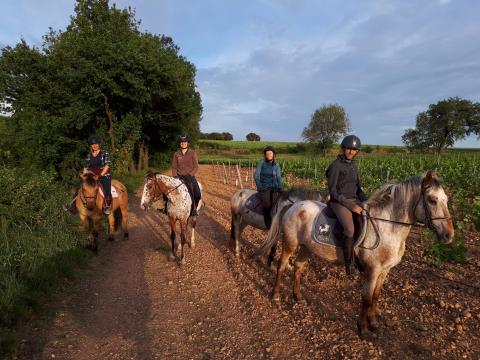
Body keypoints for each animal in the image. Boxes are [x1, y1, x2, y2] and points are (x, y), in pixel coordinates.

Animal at [256, 170, 452, 338]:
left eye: (446, 200)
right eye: (432, 200)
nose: (449, 235)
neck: (387, 227)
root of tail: (293, 205)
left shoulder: (384, 271)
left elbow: (376, 295)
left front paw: (373, 323)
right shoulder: (372, 271)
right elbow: (366, 299)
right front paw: (363, 329)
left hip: (306, 247)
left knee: (298, 267)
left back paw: (298, 296)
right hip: (290, 244)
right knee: (282, 266)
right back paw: (275, 295)